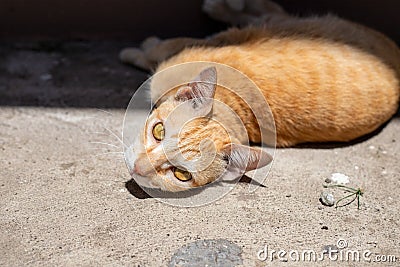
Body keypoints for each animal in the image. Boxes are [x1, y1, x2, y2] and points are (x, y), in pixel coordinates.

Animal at [122, 0, 400, 193]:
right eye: (159, 131)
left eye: (181, 174)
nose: (137, 168)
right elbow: (164, 47)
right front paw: (141, 49)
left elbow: (158, 50)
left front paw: (137, 51)